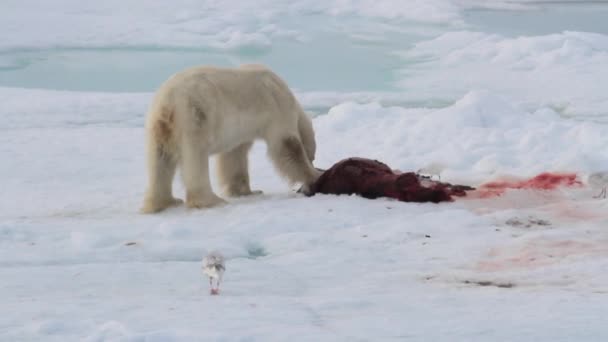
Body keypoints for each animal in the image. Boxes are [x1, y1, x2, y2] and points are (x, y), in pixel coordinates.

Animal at [140, 63, 320, 214]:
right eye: (312, 157)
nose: (313, 161)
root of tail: (168, 104)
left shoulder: (241, 133)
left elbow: (234, 155)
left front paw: (248, 191)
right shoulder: (279, 108)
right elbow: (287, 145)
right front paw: (314, 175)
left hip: (158, 128)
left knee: (160, 161)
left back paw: (165, 202)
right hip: (195, 117)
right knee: (196, 159)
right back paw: (211, 200)